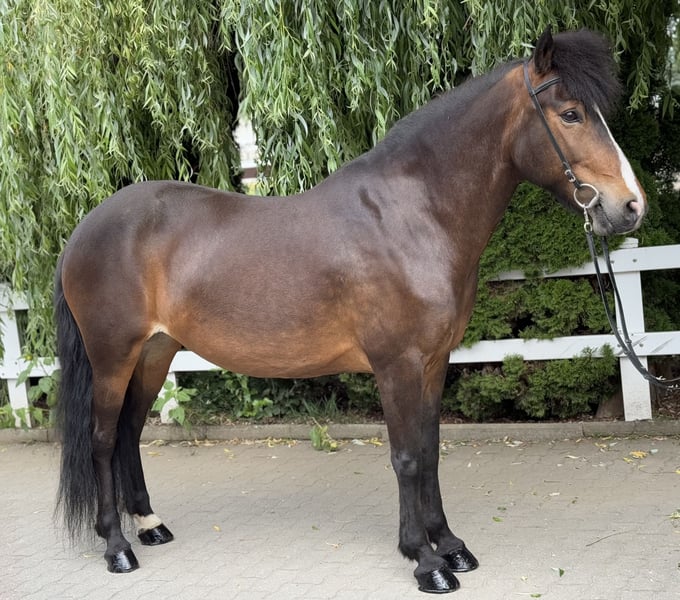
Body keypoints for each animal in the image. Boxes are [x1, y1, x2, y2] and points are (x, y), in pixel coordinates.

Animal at [54, 28, 646, 593]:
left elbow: (430, 450)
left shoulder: (434, 362)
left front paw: (451, 545)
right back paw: (117, 547)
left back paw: (150, 525)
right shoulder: (396, 364)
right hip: (113, 357)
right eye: (570, 114)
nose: (631, 207)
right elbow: (406, 457)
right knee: (102, 438)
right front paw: (425, 561)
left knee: (130, 431)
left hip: (155, 352)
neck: (411, 216)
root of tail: (84, 230)